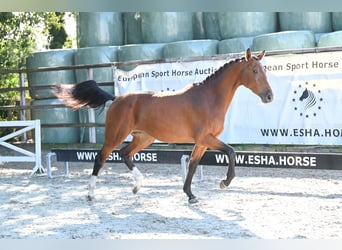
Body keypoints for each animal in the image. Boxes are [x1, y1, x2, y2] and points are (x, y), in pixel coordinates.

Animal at [52, 48, 272, 203]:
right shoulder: (206, 138)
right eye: (254, 71)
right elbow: (231, 151)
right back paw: (90, 194)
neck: (208, 98)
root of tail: (116, 99)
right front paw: (224, 182)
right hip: (115, 135)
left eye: (264, 70)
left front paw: (190, 195)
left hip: (144, 138)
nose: (269, 96)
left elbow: (193, 165)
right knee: (101, 158)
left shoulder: (202, 142)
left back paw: (137, 186)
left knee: (125, 154)